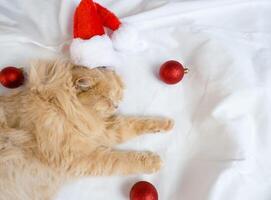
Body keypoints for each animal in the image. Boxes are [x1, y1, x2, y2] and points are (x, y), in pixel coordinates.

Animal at [0, 60, 174, 199]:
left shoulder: (102, 129)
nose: (116, 106)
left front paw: (167, 123)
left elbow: (135, 122)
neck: (57, 104)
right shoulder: (81, 155)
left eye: (117, 95)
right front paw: (154, 161)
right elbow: (123, 159)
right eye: (106, 99)